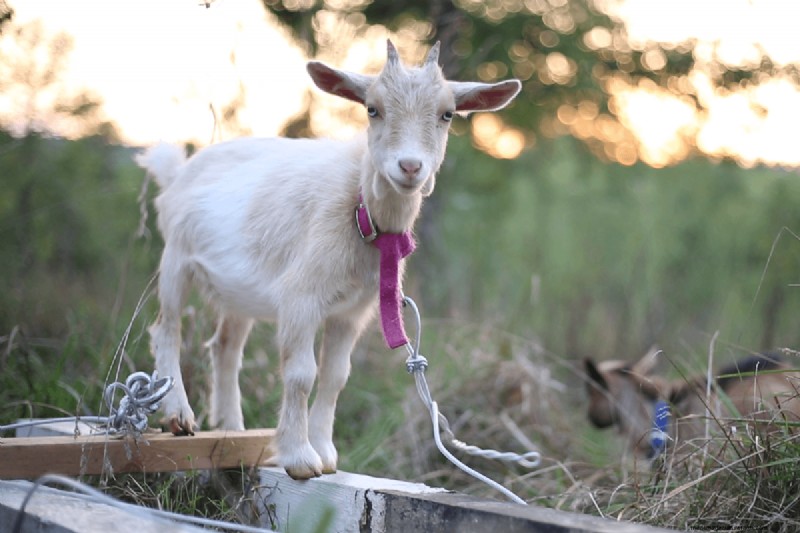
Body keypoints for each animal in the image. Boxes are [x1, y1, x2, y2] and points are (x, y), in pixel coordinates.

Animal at [135, 40, 521, 479]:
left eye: (447, 114)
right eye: (372, 108)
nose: (409, 167)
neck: (360, 210)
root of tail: (180, 170)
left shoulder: (351, 312)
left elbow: (336, 377)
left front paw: (325, 452)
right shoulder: (301, 297)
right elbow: (302, 374)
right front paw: (300, 457)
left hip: (239, 290)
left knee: (225, 346)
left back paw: (232, 430)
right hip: (175, 258)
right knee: (167, 328)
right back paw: (179, 414)